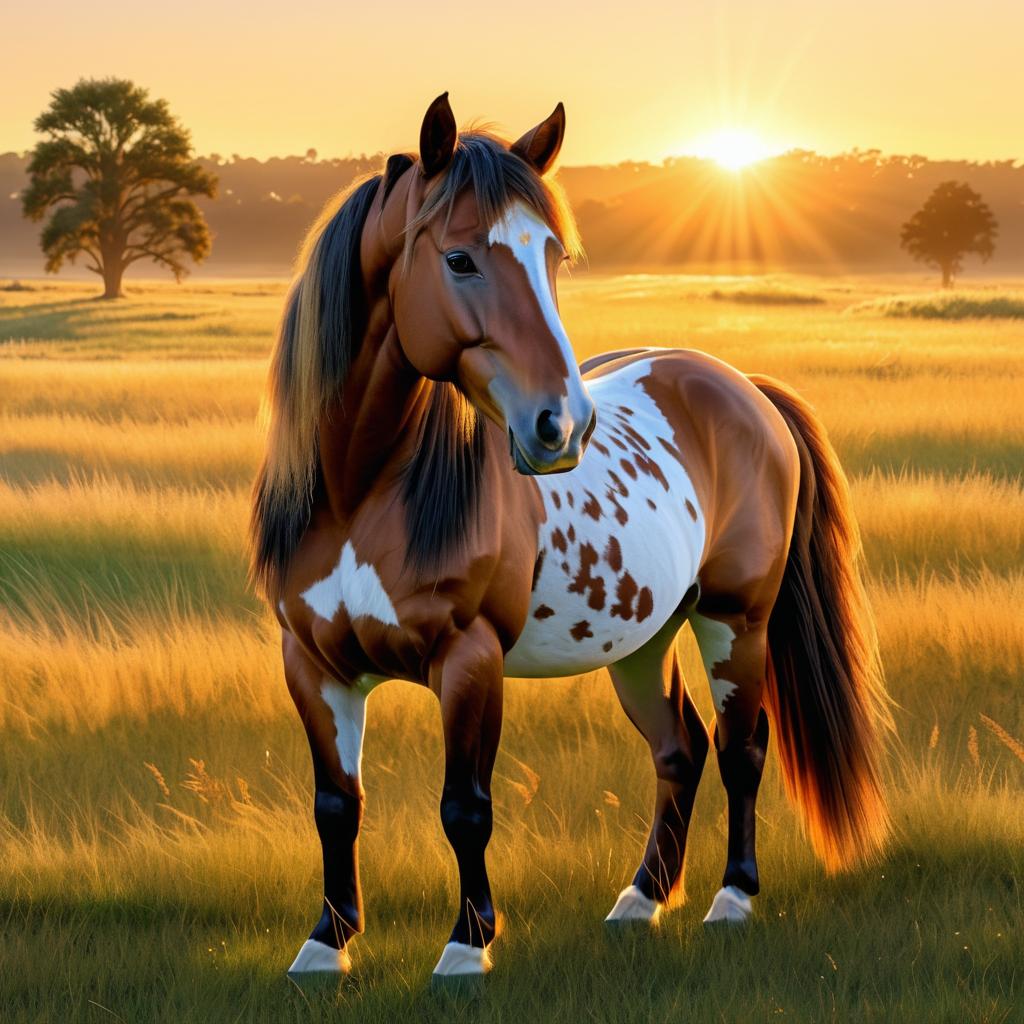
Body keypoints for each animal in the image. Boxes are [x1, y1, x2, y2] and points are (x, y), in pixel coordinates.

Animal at [251, 96, 892, 983]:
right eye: (458, 259)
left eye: (553, 255)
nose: (562, 426)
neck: (359, 495)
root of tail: (741, 386)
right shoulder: (312, 666)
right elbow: (336, 806)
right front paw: (325, 943)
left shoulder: (469, 660)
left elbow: (465, 807)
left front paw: (467, 946)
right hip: (644, 641)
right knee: (680, 749)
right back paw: (641, 900)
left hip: (737, 621)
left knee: (740, 748)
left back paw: (731, 899)